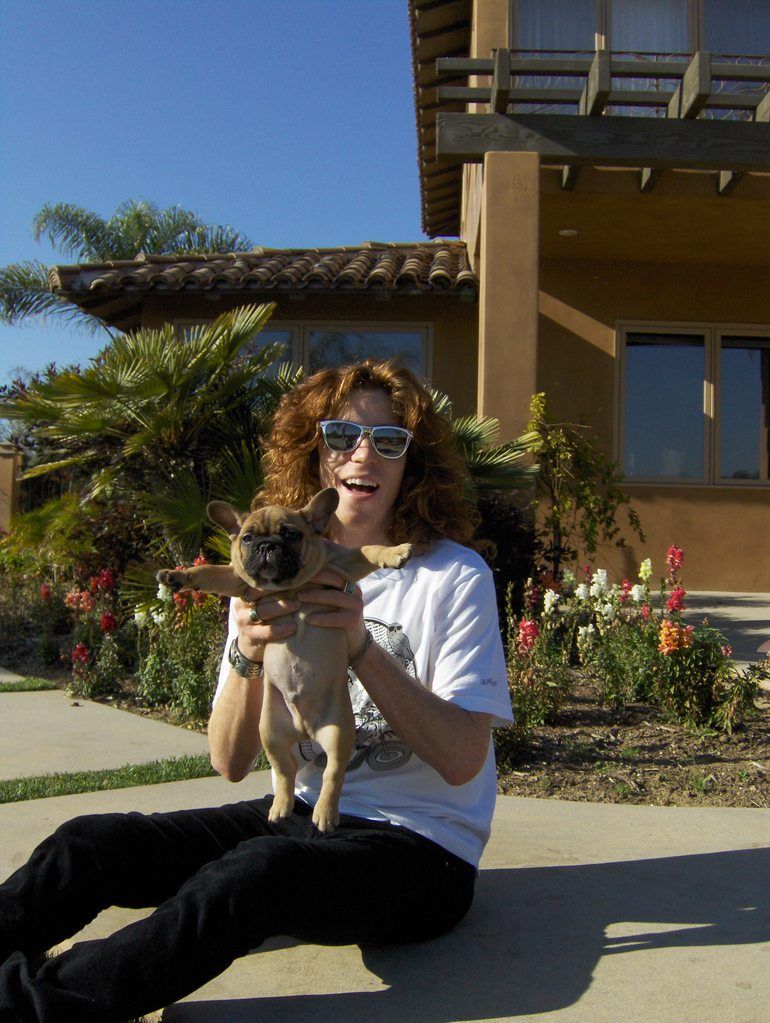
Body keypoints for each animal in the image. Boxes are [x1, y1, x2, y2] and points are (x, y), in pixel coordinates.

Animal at [153, 491, 411, 834]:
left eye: (291, 535)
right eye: (247, 538)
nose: (267, 546)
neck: (288, 585)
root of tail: (305, 728)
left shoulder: (343, 564)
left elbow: (368, 549)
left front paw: (395, 553)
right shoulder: (237, 580)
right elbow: (209, 570)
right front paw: (178, 575)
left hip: (339, 732)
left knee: (332, 773)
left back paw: (324, 814)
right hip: (270, 733)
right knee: (285, 770)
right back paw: (281, 807)